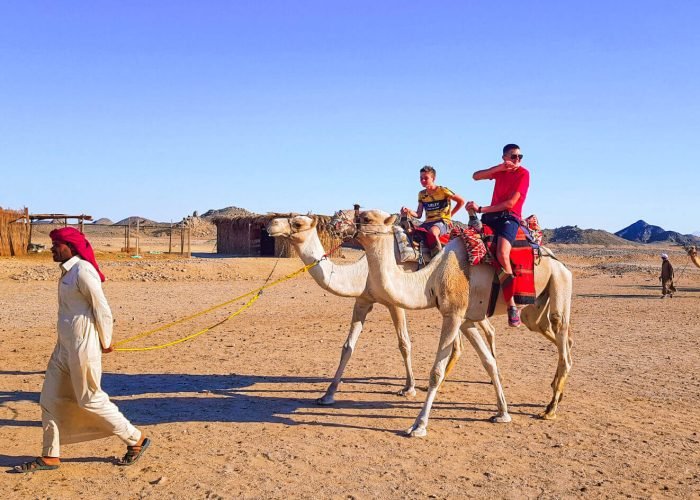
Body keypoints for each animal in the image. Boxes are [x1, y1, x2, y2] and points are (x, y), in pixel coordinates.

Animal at [266, 214, 497, 406]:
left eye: (298, 223)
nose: (272, 223)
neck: (363, 271)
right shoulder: (362, 301)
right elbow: (347, 347)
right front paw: (328, 394)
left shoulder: (395, 303)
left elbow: (404, 344)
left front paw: (409, 388)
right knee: (479, 332)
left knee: (481, 331)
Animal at [337, 209, 573, 437]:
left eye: (366, 217)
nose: (337, 222)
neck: (432, 278)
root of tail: (559, 261)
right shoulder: (466, 319)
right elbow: (488, 362)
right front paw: (502, 413)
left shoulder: (453, 315)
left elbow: (436, 372)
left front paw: (418, 425)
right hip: (534, 308)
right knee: (550, 332)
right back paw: (556, 390)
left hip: (560, 281)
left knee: (560, 330)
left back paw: (550, 408)